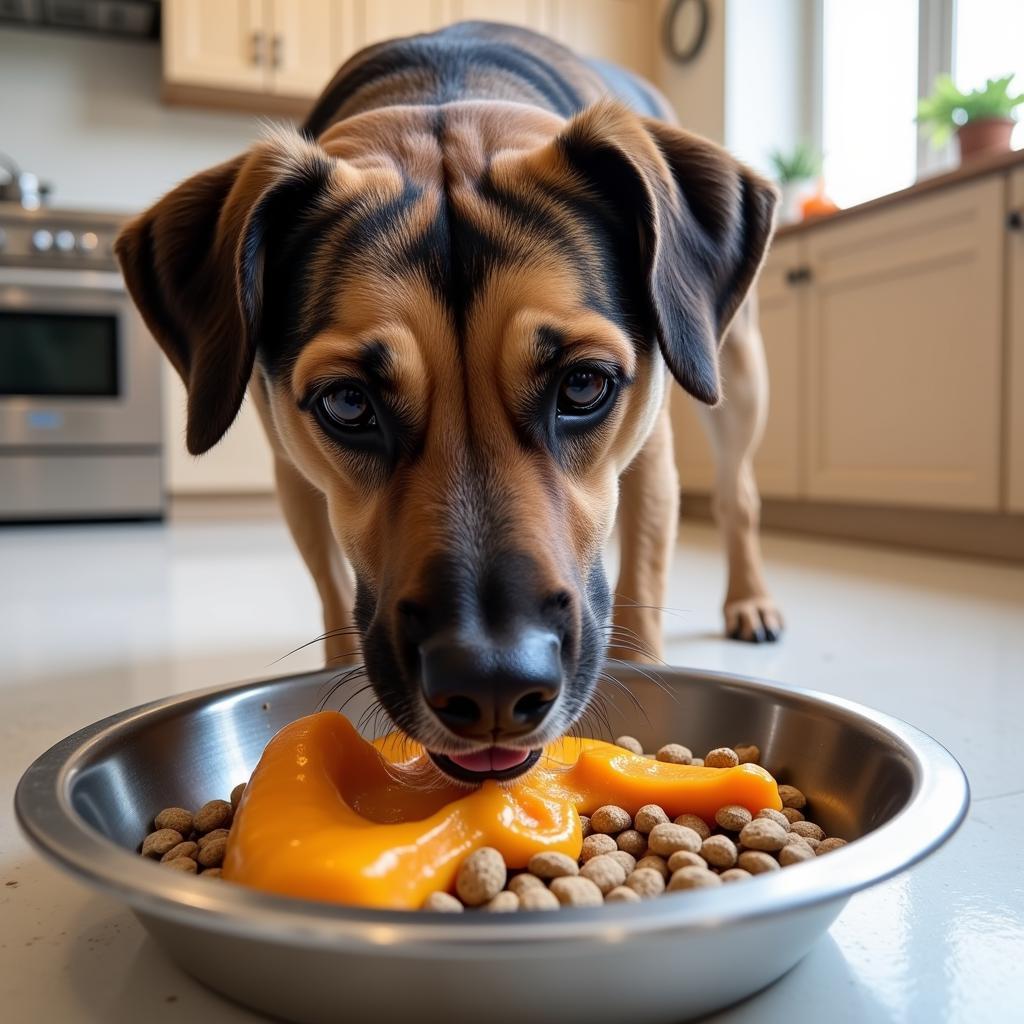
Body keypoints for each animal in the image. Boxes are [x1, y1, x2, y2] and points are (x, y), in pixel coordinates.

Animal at [116, 19, 778, 782]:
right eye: (348, 403)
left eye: (584, 385)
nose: (492, 683)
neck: (445, 95)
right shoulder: (294, 472)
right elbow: (333, 594)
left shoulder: (649, 458)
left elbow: (644, 580)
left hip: (736, 368)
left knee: (738, 494)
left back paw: (751, 600)